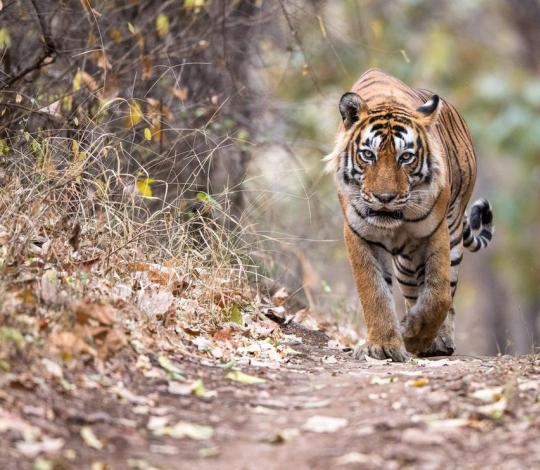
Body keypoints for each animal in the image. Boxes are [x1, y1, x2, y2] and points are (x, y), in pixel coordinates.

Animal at [324, 68, 494, 362]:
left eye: (405, 157)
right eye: (368, 155)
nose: (384, 198)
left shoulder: (435, 232)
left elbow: (438, 294)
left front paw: (415, 336)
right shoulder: (358, 234)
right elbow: (374, 291)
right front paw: (384, 345)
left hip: (452, 231)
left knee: (446, 292)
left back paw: (439, 342)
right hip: (405, 263)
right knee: (412, 292)